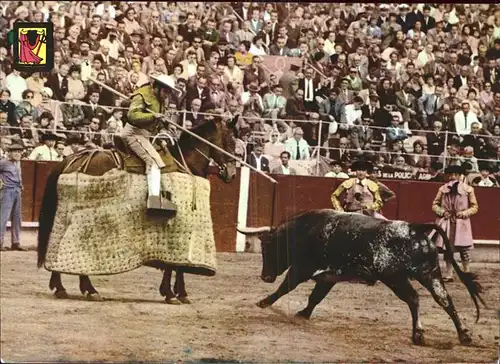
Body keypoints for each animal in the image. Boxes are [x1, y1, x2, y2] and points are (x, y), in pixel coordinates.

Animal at [38, 115, 237, 302]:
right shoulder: (181, 226)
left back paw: (70, 288)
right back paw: (84, 289)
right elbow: (176, 264)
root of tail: (70, 160)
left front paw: (176, 292)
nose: (232, 173)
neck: (185, 163)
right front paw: (173, 293)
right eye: (230, 140)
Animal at [238, 209, 488, 346]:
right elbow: (316, 297)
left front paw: (264, 302)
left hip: (395, 278)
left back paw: (418, 334)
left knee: (414, 299)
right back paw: (464, 335)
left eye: (268, 249)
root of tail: (413, 228)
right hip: (429, 274)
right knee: (445, 300)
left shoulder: (303, 268)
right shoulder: (328, 277)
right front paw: (303, 313)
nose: (265, 277)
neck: (304, 230)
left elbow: (286, 287)